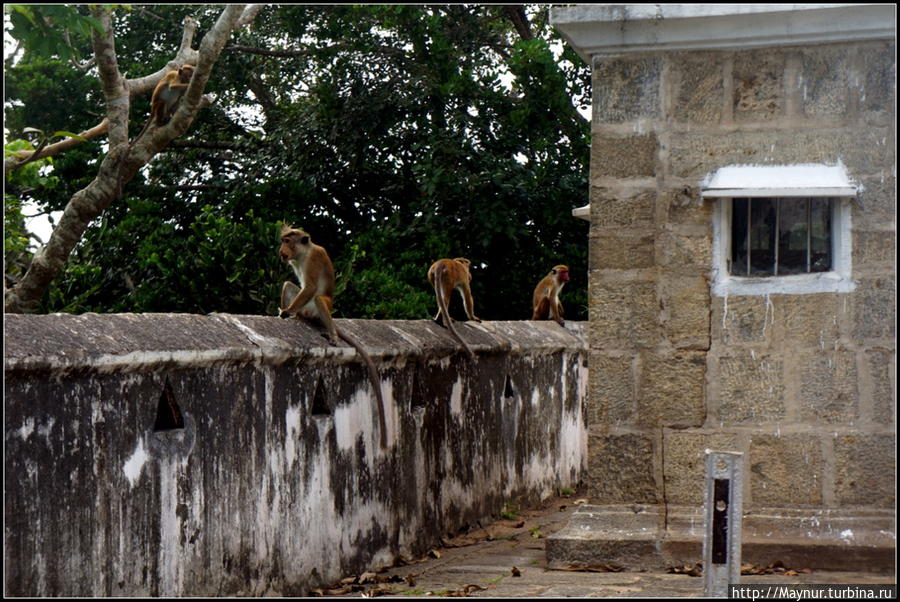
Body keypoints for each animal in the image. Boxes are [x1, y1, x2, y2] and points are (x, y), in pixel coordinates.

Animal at [274, 223, 386, 448]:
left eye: (288, 241)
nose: (282, 250)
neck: (303, 253)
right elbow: (295, 286)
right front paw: (287, 312)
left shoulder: (313, 259)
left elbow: (309, 287)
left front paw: (287, 311)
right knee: (288, 285)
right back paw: (298, 317)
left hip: (316, 308)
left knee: (317, 298)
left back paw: (330, 332)